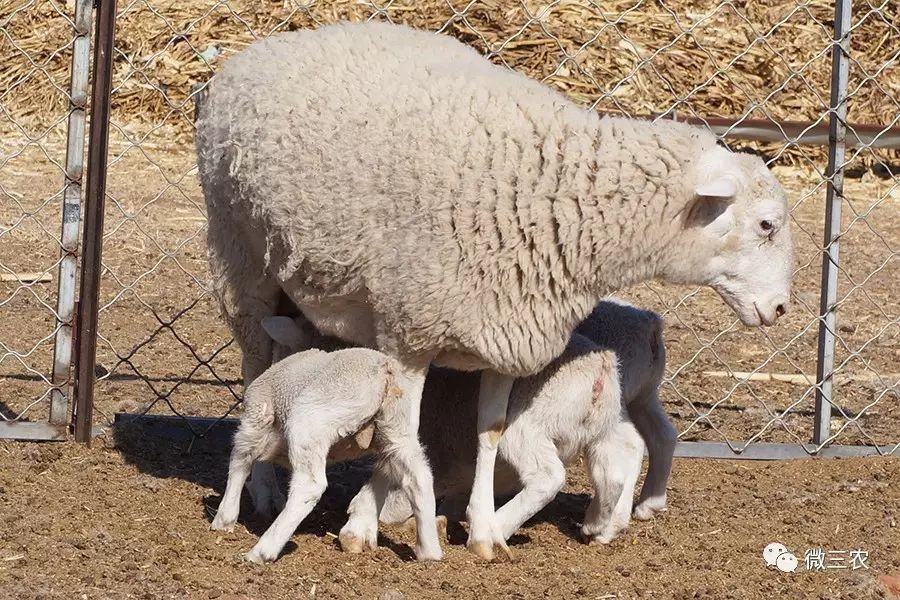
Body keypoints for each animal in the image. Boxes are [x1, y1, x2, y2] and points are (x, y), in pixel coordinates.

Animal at [197, 19, 796, 564]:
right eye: (767, 224)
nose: (780, 308)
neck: (556, 194)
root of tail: (271, 44)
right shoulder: (408, 335)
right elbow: (404, 439)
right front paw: (378, 524)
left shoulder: (504, 334)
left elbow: (489, 434)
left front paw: (483, 530)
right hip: (241, 261)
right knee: (255, 367)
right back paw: (260, 492)